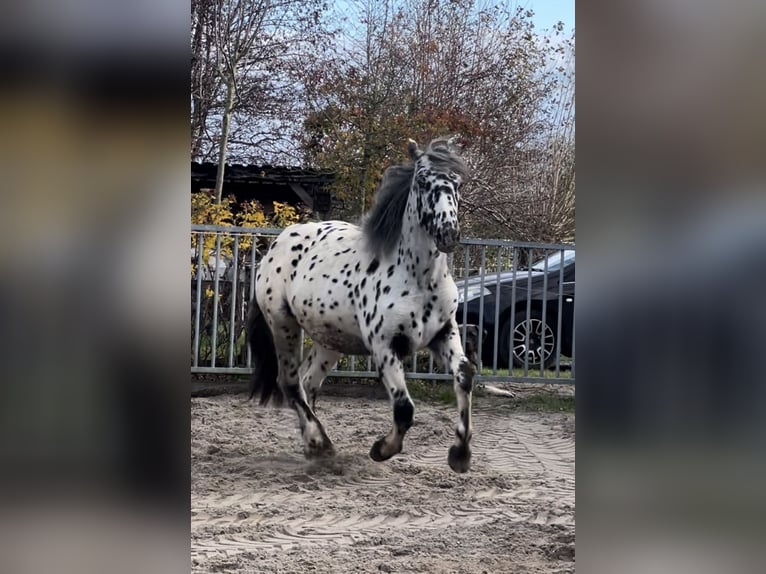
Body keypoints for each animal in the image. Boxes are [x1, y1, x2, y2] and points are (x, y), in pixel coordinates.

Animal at [248, 137, 474, 474]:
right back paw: (320, 444)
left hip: (329, 340)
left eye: (457, 183)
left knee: (307, 382)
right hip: (283, 326)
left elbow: (464, 376)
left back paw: (314, 446)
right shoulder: (384, 346)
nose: (448, 234)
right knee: (289, 384)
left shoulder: (444, 333)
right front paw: (381, 449)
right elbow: (404, 408)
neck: (419, 280)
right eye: (422, 181)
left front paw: (460, 455)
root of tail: (277, 244)